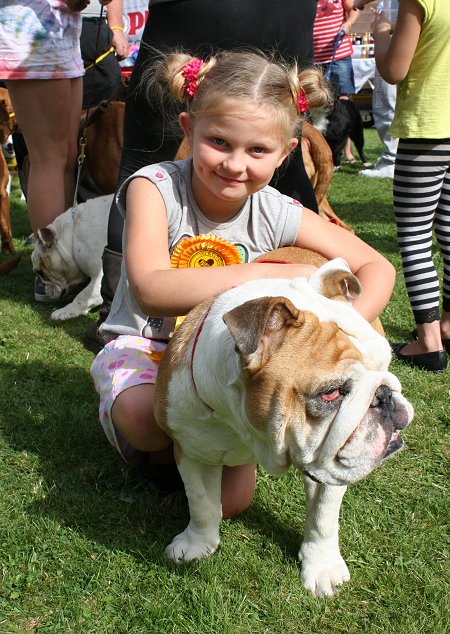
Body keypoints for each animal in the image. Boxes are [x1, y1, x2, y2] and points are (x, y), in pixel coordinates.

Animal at [153, 256, 414, 592]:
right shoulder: (191, 448)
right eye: (330, 393)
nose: (385, 396)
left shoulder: (329, 466)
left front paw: (322, 565)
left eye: (385, 364)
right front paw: (196, 544)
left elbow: (323, 517)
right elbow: (201, 503)